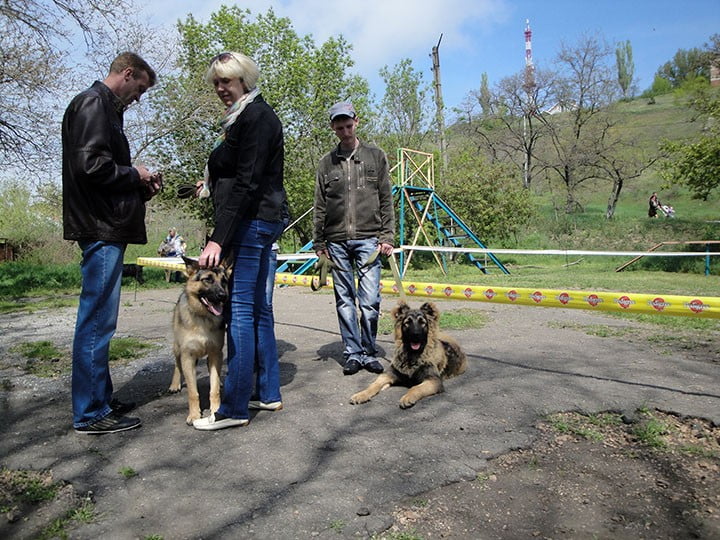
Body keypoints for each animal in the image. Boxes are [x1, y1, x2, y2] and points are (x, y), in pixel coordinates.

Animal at [167, 255, 232, 424]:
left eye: (224, 281)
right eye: (207, 279)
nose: (223, 296)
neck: (203, 318)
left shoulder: (216, 353)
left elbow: (213, 389)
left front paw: (216, 410)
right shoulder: (188, 356)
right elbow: (192, 392)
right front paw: (195, 415)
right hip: (178, 349)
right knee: (177, 364)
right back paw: (174, 384)